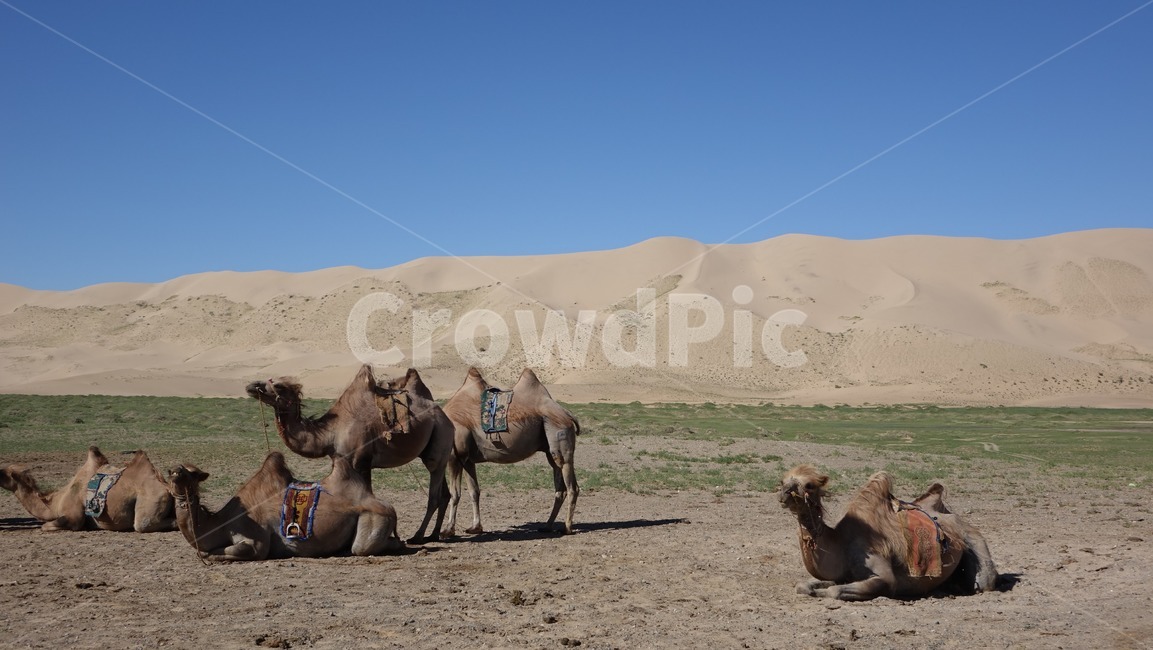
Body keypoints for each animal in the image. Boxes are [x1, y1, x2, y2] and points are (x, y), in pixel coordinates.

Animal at [0, 446, 175, 532]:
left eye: (3, 473)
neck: (55, 502)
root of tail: (166, 486)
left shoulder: (74, 517)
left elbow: (45, 527)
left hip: (149, 503)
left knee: (142, 524)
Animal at [167, 451, 402, 561]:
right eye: (171, 472)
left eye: (193, 473)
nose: (175, 471)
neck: (223, 523)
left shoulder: (257, 543)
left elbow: (216, 553)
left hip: (374, 519)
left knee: (365, 547)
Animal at [245, 365, 452, 543]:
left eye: (278, 385)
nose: (251, 386)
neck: (330, 433)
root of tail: (444, 415)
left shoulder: (361, 461)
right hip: (435, 452)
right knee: (445, 494)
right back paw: (435, 534)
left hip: (439, 441)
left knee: (434, 495)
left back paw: (418, 536)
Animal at [440, 367, 581, 535]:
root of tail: (568, 414)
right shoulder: (467, 460)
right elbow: (474, 491)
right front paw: (475, 527)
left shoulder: (455, 456)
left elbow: (454, 494)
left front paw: (447, 530)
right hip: (550, 448)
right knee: (561, 486)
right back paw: (547, 526)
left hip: (558, 433)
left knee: (571, 485)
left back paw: (567, 528)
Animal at [778, 464, 998, 601]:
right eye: (783, 481)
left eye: (809, 485)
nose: (783, 493)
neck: (841, 543)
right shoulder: (843, 574)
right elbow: (804, 586)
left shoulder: (883, 574)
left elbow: (834, 591)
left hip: (973, 539)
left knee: (983, 582)